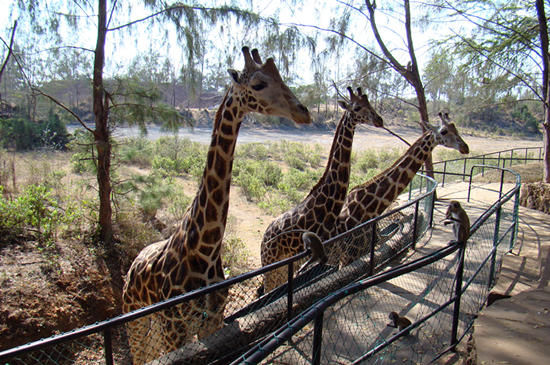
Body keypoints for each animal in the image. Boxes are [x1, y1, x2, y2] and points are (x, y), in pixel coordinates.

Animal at [122, 47, 310, 362]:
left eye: (281, 77)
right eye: (258, 84)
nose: (304, 112)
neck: (206, 250)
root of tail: (134, 264)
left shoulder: (213, 320)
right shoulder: (175, 328)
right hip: (136, 318)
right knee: (140, 355)